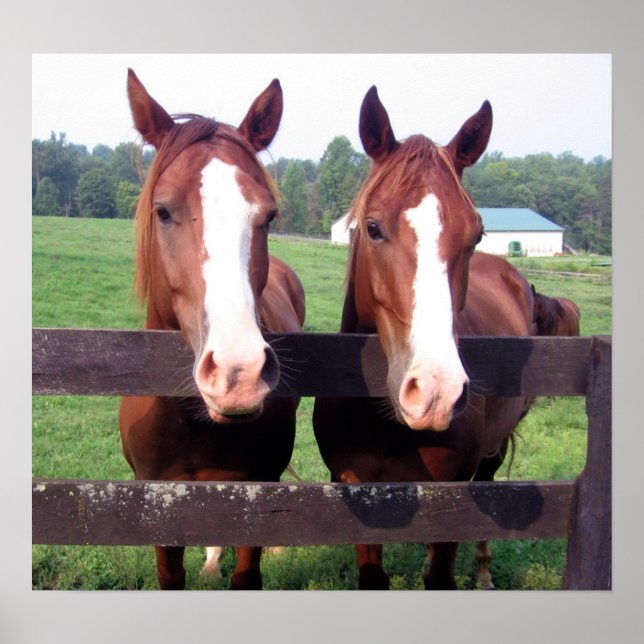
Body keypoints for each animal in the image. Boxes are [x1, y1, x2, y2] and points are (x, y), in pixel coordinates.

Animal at [313, 86, 535, 590]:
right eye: (373, 227)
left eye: (477, 235)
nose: (435, 394)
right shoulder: (356, 490)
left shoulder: (449, 493)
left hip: (493, 451)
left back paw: (484, 571)